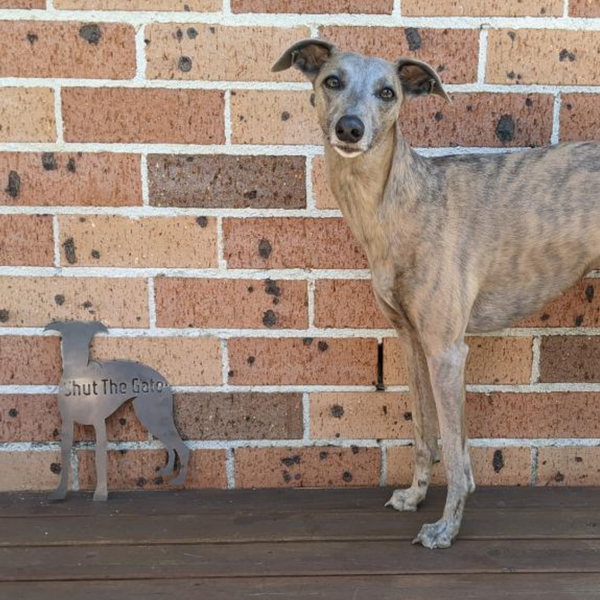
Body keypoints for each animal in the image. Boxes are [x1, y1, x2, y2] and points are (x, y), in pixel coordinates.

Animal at [44, 324, 190, 502]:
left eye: (87, 337)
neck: (80, 378)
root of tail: (164, 381)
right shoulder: (67, 424)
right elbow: (65, 458)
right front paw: (59, 493)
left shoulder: (99, 425)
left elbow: (100, 460)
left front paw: (100, 495)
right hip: (152, 418)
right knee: (171, 446)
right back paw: (167, 471)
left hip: (154, 417)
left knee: (182, 448)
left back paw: (179, 480)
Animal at [274, 41, 600, 548]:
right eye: (332, 80)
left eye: (388, 92)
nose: (350, 129)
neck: (397, 202)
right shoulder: (412, 341)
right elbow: (427, 433)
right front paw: (414, 496)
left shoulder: (447, 351)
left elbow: (455, 449)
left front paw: (446, 528)